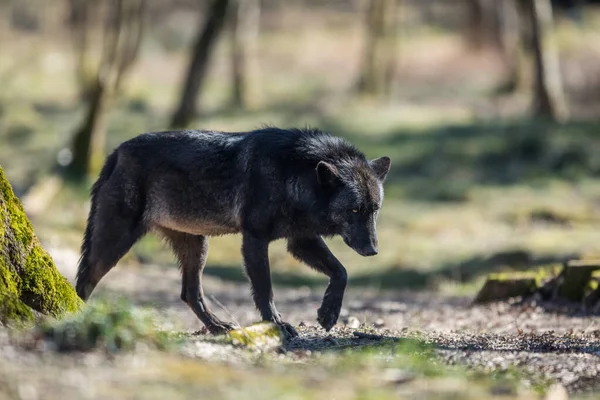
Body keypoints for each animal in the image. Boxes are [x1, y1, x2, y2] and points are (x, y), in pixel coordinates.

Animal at [75, 126, 392, 336]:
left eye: (374, 209)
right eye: (355, 211)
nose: (373, 250)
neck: (293, 173)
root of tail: (117, 152)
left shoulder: (300, 241)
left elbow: (341, 272)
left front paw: (328, 314)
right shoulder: (255, 240)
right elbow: (265, 290)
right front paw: (277, 324)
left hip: (198, 247)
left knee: (189, 293)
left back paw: (216, 326)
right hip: (114, 243)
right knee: (85, 280)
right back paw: (75, 313)